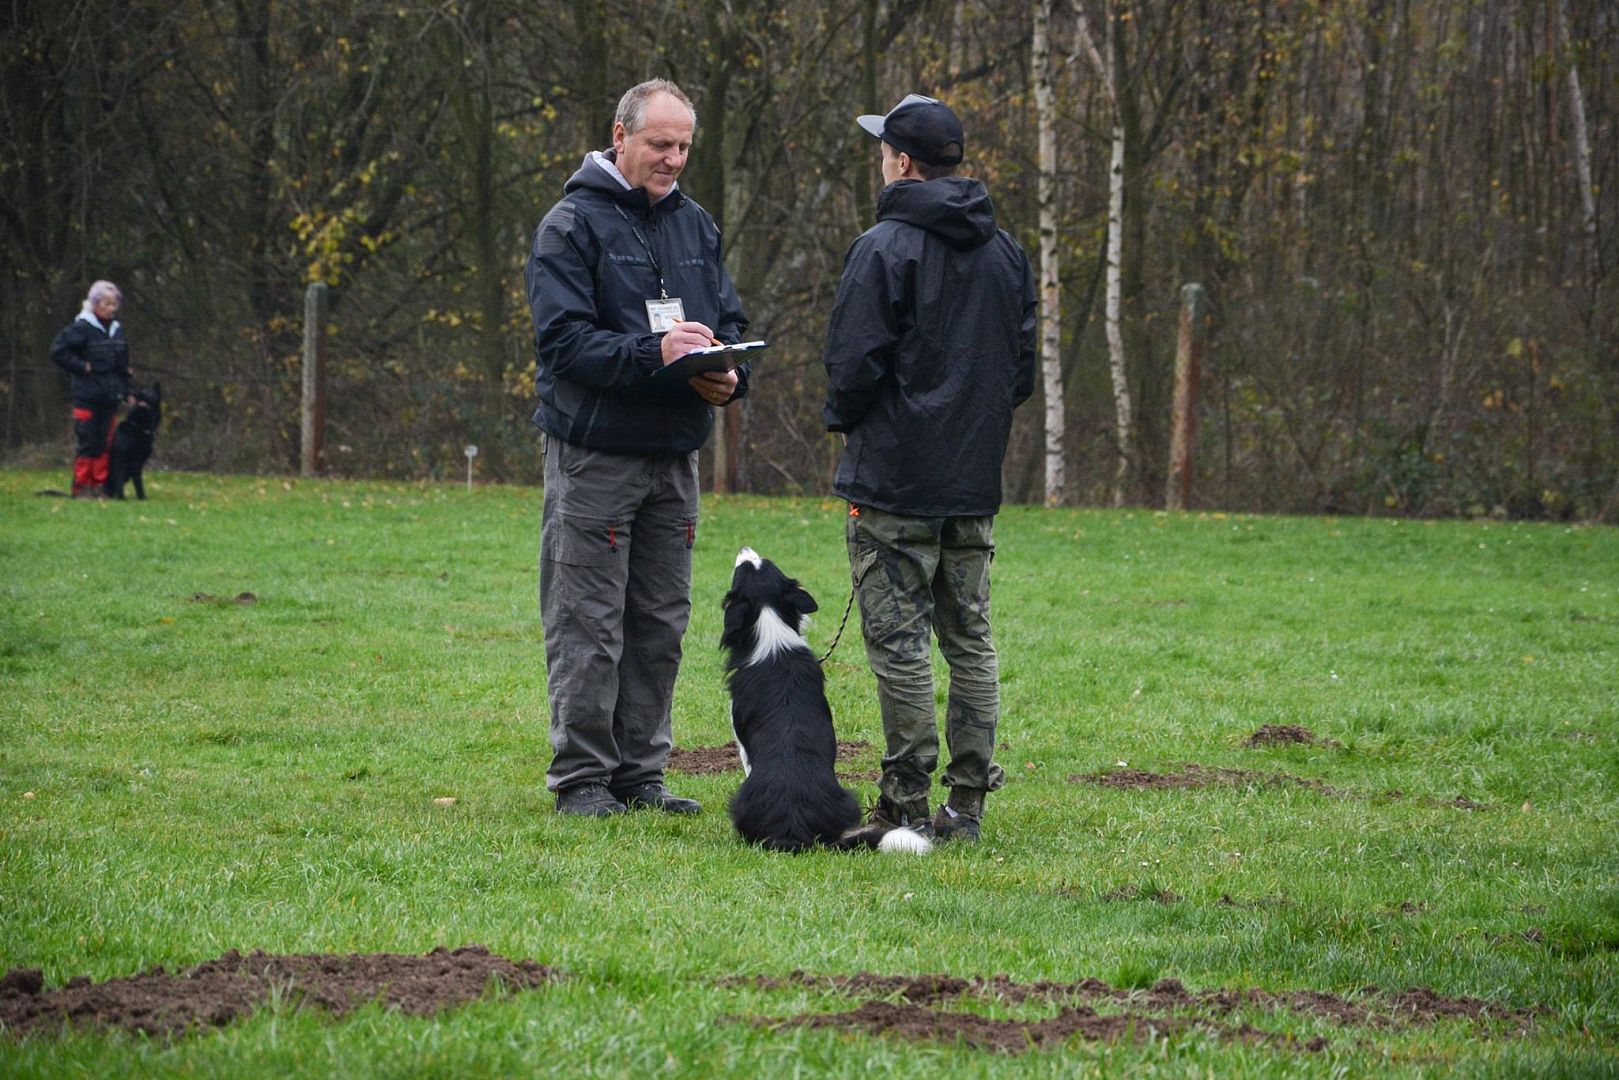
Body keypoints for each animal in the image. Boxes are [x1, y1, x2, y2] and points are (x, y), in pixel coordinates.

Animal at [725, 550, 939, 854]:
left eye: (742, 569)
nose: (744, 548)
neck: (771, 627)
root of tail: (797, 828)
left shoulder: (741, 737)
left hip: (741, 803)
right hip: (848, 800)